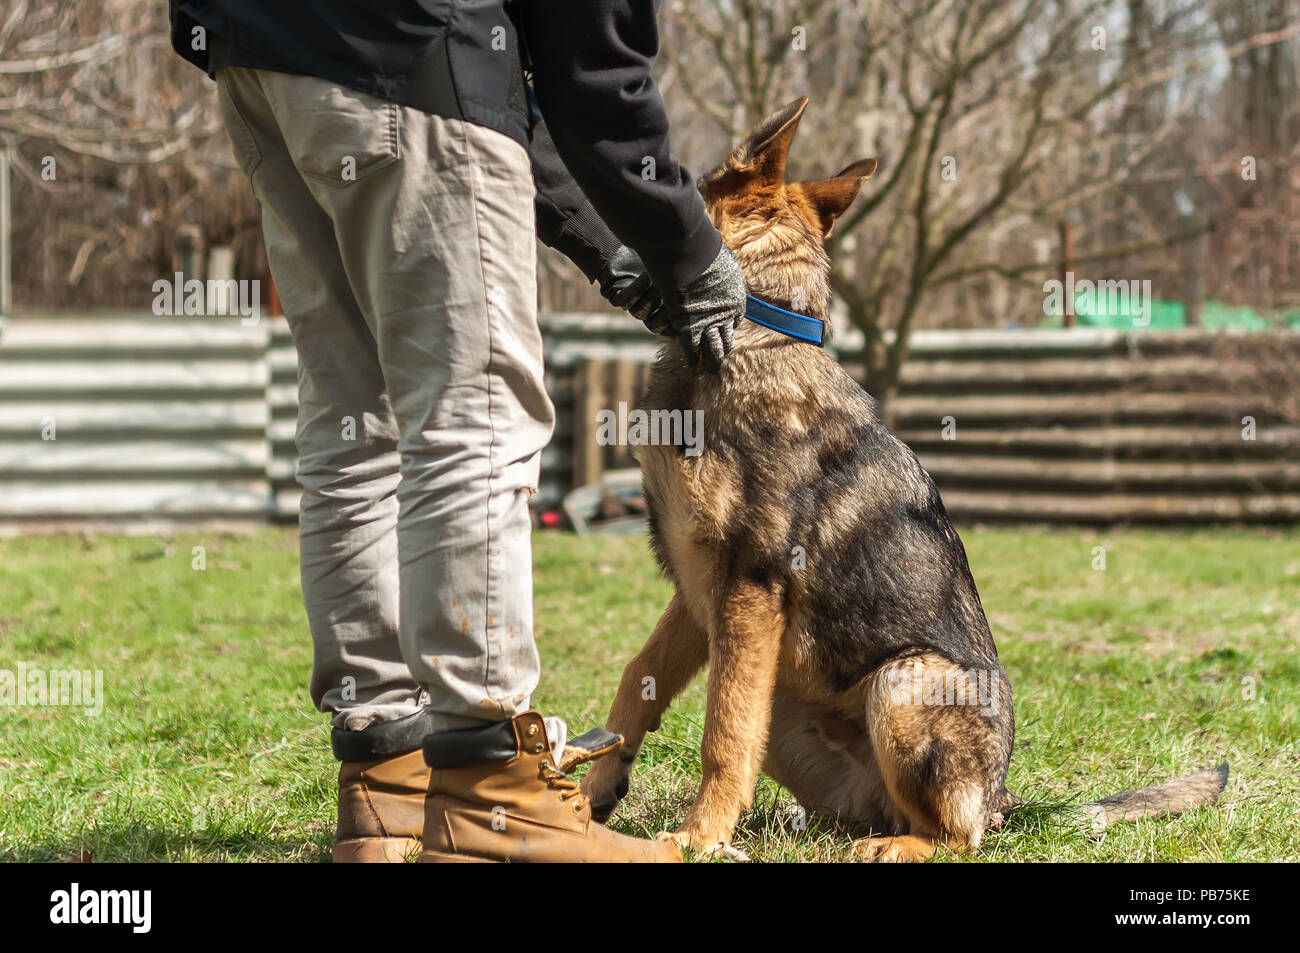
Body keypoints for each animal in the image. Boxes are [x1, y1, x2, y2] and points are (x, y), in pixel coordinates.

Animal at [582, 98, 1227, 863]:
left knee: (954, 834)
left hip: (903, 678)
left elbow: (723, 732)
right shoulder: (697, 592)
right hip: (794, 704)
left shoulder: (747, 587)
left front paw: (698, 836)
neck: (759, 321)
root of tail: (1005, 799)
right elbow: (638, 681)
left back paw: (896, 844)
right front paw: (596, 791)